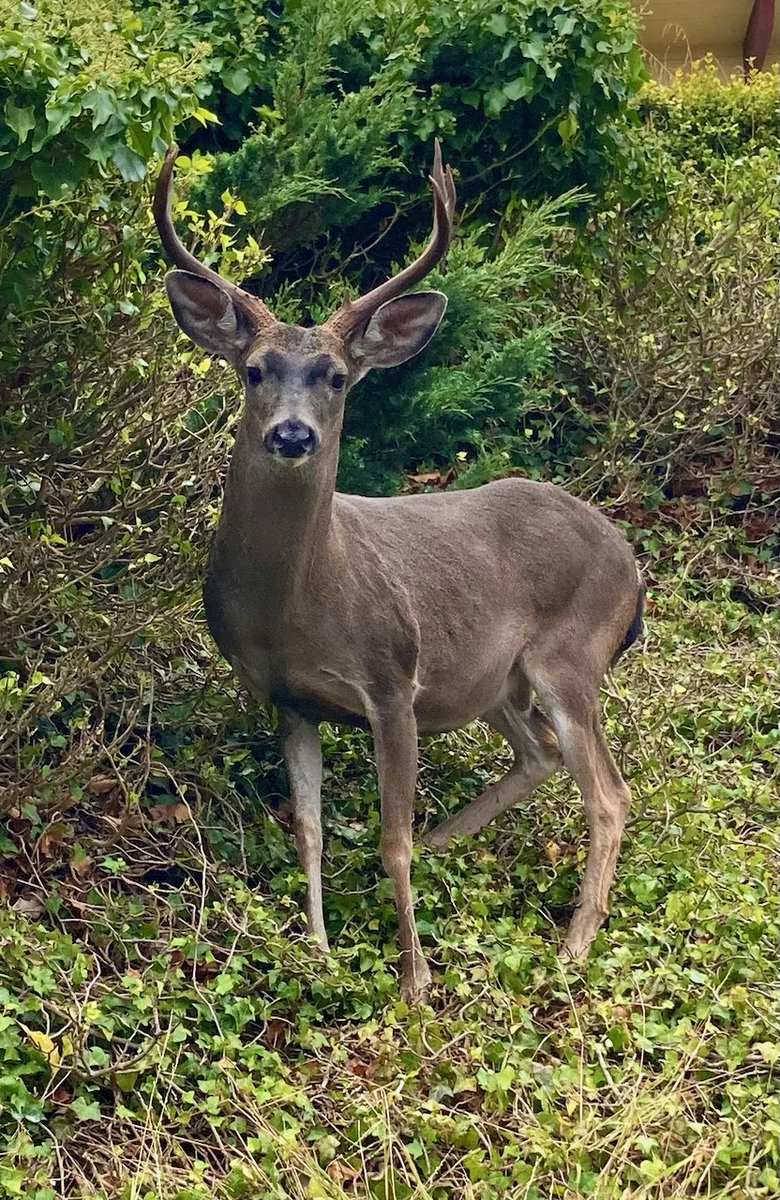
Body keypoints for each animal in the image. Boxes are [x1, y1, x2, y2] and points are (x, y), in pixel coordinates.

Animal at [153, 142, 644, 1003]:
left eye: (336, 377)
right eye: (253, 370)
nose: (292, 435)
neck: (299, 605)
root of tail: (633, 565)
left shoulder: (391, 680)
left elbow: (392, 839)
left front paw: (414, 981)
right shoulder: (289, 699)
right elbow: (309, 830)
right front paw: (318, 950)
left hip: (572, 655)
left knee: (609, 794)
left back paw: (572, 947)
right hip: (495, 679)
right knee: (540, 754)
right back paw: (455, 842)